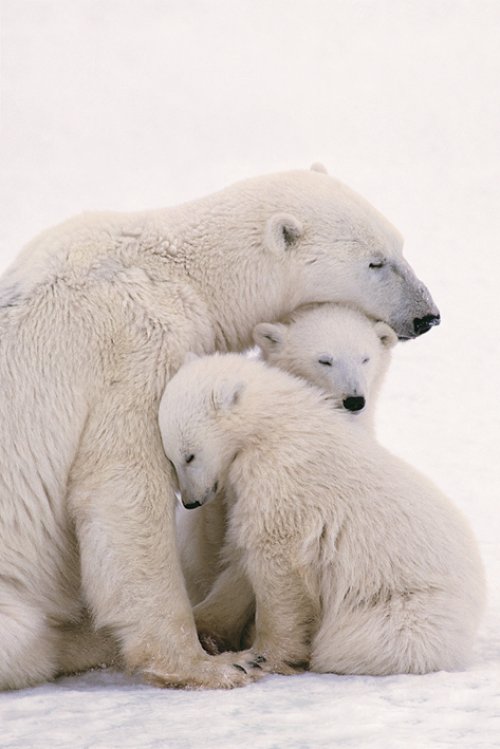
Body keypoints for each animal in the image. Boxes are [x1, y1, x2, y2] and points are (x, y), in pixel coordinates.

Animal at [160, 353, 485, 676]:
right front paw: (204, 627)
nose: (190, 502)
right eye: (171, 458)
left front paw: (265, 655)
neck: (272, 426)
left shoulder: (282, 479)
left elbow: (277, 564)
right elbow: (242, 560)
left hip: (409, 606)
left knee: (361, 640)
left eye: (189, 455)